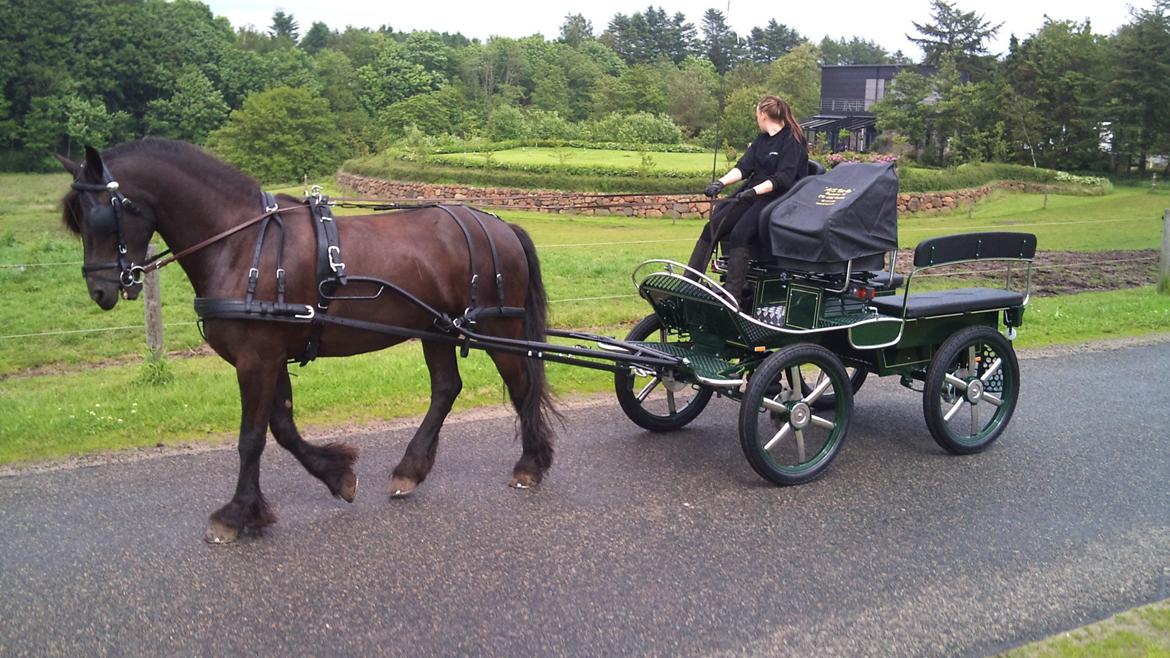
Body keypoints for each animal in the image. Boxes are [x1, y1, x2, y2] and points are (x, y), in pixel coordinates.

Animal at [59, 136, 556, 538]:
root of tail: (501, 226)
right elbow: (282, 428)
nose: (101, 291)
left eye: (101, 216)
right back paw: (410, 470)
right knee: (446, 389)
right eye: (76, 218)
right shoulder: (270, 354)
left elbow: (252, 437)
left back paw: (530, 464)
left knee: (521, 385)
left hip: (495, 326)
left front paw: (236, 515)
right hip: (436, 328)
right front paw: (336, 476)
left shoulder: (257, 357)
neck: (244, 245)